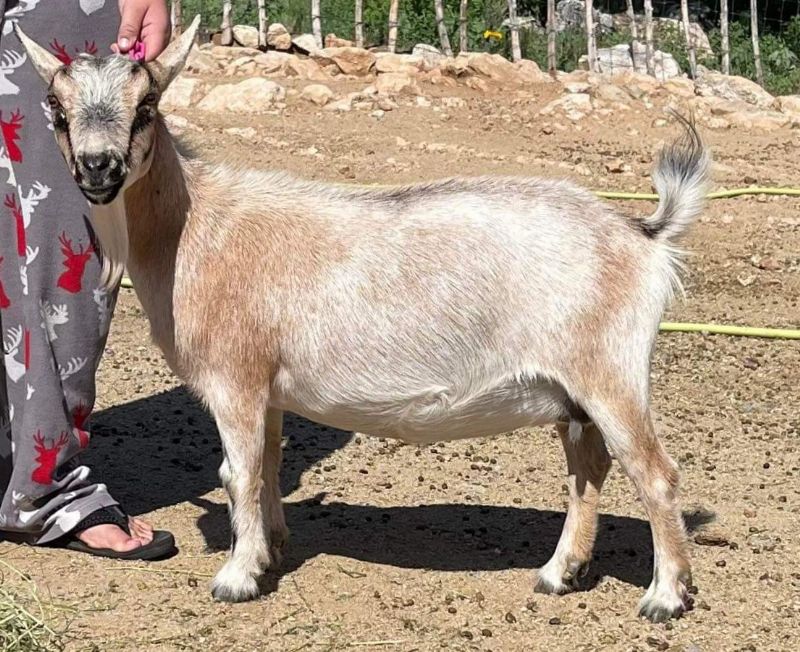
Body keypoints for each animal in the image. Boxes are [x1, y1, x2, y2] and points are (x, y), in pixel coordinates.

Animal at [15, 16, 708, 620]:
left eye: (147, 106)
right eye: (57, 109)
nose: (98, 167)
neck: (193, 231)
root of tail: (644, 235)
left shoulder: (235, 379)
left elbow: (237, 474)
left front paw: (236, 578)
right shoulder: (268, 389)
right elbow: (267, 467)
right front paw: (271, 552)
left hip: (609, 374)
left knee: (655, 474)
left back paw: (664, 596)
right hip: (573, 393)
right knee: (587, 470)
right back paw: (560, 573)